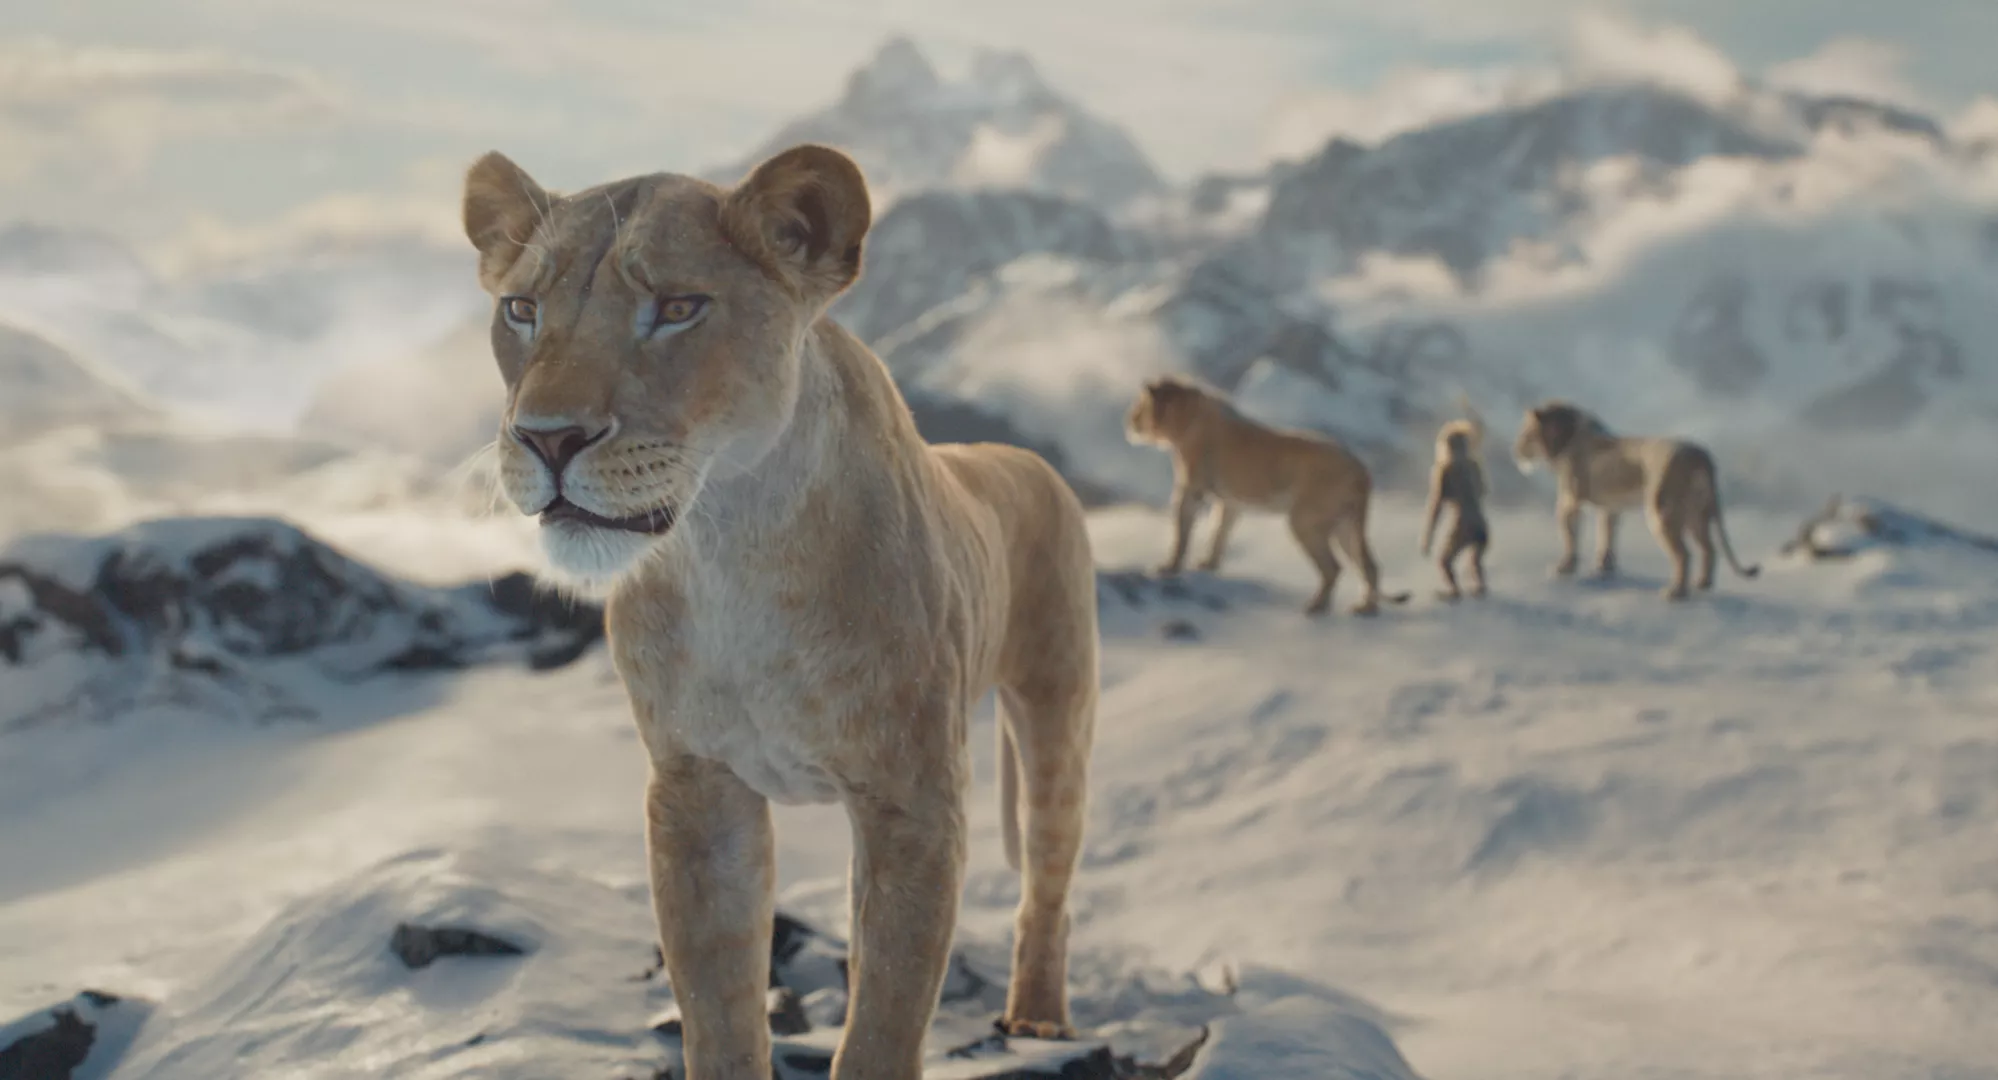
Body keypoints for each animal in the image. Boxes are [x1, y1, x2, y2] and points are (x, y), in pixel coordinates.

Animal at [462, 143, 1099, 1079]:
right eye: (521, 309)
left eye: (678, 308)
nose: (546, 437)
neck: (732, 549)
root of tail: (1023, 458)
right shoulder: (695, 790)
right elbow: (718, 1009)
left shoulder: (913, 799)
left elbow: (882, 1023)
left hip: (1057, 712)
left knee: (1048, 877)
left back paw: (1040, 1020)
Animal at [1124, 375, 1410, 615]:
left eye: (1139, 406)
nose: (1129, 423)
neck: (1185, 418)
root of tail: (1362, 470)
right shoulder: (1230, 502)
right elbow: (1219, 532)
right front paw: (1208, 565)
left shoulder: (1191, 490)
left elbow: (1182, 532)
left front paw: (1169, 567)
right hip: (1345, 524)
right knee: (1370, 566)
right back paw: (1365, 608)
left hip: (1305, 521)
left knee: (1333, 568)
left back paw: (1316, 607)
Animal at [1420, 404, 1490, 600]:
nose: (1440, 442)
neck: (1459, 456)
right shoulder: (1474, 463)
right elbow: (1482, 489)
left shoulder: (1442, 470)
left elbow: (1436, 504)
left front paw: (1426, 543)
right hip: (1482, 538)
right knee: (1476, 561)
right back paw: (1480, 587)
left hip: (1461, 534)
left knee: (1445, 560)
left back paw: (1453, 592)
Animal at [1511, 400, 1761, 600]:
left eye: (1525, 434)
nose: (1516, 451)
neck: (1566, 438)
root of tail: (1701, 455)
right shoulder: (1610, 508)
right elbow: (1607, 536)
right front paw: (1605, 568)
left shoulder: (1569, 502)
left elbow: (1570, 537)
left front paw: (1564, 568)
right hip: (1697, 514)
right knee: (1709, 549)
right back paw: (1703, 584)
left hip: (1663, 512)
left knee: (1684, 554)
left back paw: (1676, 592)